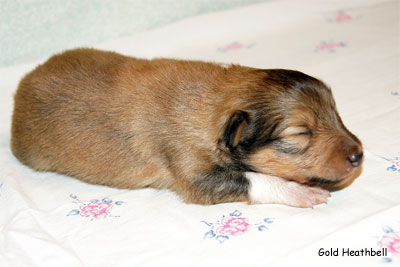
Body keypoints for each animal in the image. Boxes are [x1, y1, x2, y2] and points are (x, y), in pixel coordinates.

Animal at [11, 48, 362, 208]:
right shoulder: (190, 168)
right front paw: (301, 192)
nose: (359, 156)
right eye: (300, 132)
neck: (213, 104)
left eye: (336, 113)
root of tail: (21, 88)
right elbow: (253, 178)